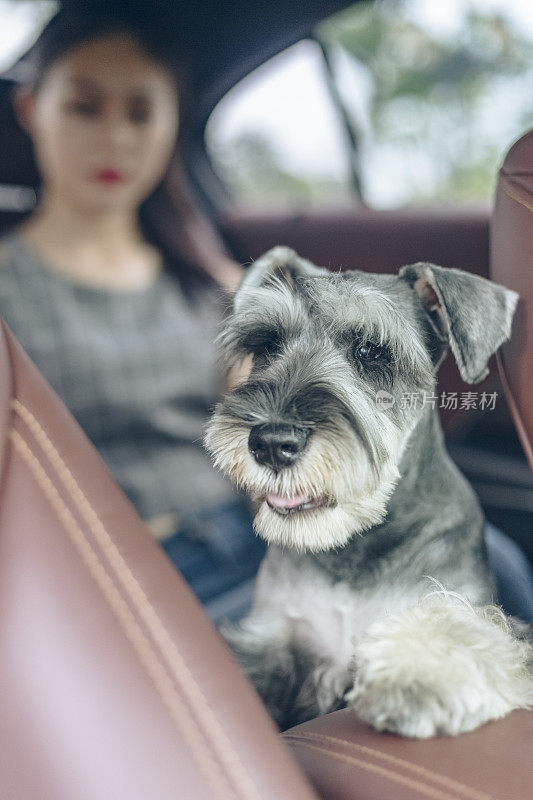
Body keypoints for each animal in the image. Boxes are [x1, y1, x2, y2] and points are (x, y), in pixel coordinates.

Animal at [204, 248, 532, 736]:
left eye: (370, 351)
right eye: (266, 345)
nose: (271, 443)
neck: (352, 548)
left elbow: (471, 628)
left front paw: (419, 674)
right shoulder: (269, 637)